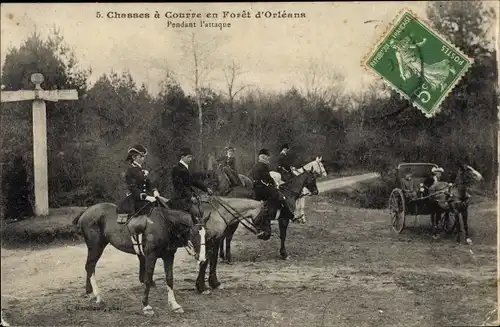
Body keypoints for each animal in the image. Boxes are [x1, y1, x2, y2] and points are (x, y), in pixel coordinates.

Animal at [71, 202, 206, 318]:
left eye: (205, 234)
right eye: (194, 234)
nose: (203, 259)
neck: (166, 224)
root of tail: (86, 210)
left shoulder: (169, 256)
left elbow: (169, 279)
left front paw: (174, 305)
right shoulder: (151, 256)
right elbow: (147, 279)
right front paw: (146, 306)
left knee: (90, 267)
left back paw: (90, 293)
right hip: (96, 246)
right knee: (90, 266)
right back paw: (97, 295)